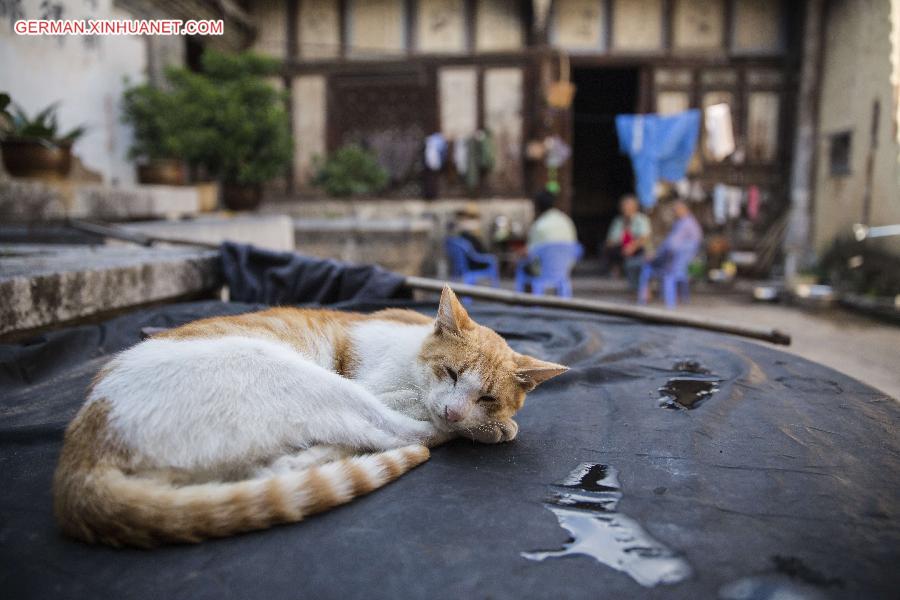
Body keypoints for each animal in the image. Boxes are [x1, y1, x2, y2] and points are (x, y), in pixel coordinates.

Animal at [52, 288, 568, 548]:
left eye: (487, 396)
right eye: (452, 372)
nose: (457, 409)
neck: (412, 344)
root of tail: (82, 446)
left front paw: (489, 422)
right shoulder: (380, 388)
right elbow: (418, 412)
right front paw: (487, 428)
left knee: (270, 468)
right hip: (294, 375)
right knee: (398, 435)